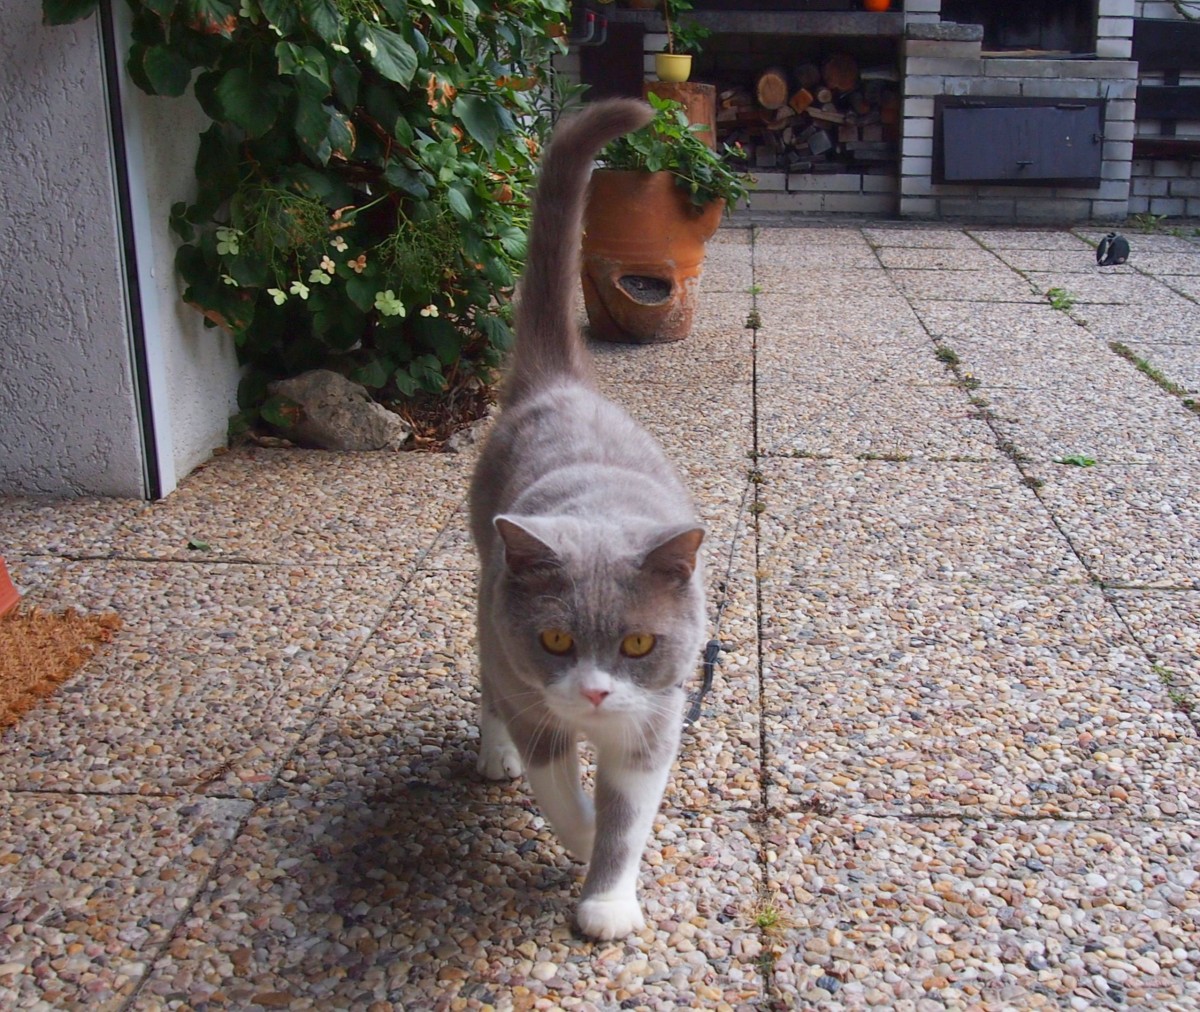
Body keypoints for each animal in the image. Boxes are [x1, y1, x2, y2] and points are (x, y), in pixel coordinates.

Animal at [468, 99, 705, 936]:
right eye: (556, 640)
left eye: (637, 643)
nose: (598, 693)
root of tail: (559, 383)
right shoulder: (527, 684)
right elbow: (561, 791)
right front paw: (579, 837)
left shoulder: (655, 721)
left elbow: (628, 819)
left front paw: (606, 902)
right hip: (487, 598)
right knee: (488, 679)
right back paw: (493, 757)